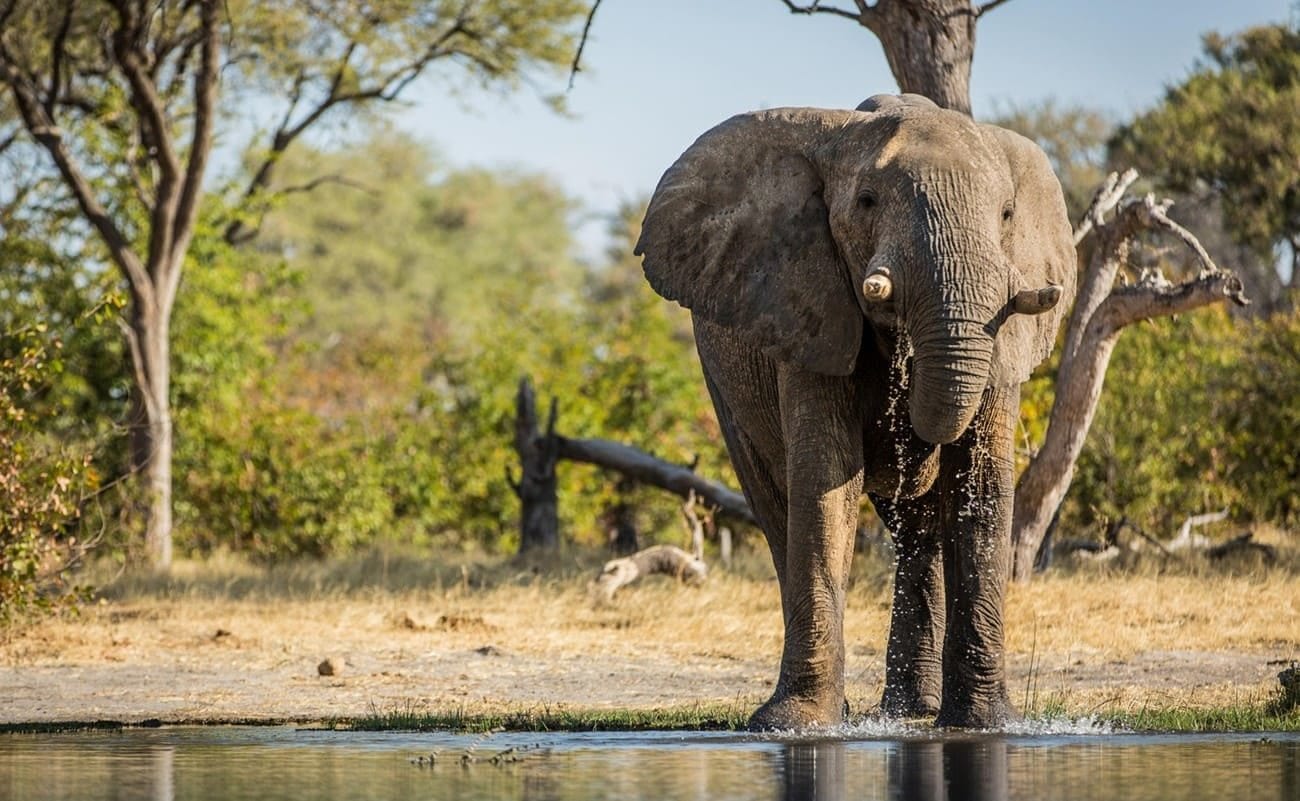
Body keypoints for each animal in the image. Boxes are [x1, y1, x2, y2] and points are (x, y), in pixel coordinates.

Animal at [634, 94, 1075, 729]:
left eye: (1008, 213)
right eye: (867, 202)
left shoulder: (1005, 336)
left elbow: (982, 487)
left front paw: (987, 725)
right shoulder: (807, 305)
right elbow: (826, 485)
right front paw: (795, 725)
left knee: (917, 529)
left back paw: (912, 712)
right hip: (724, 384)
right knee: (778, 507)